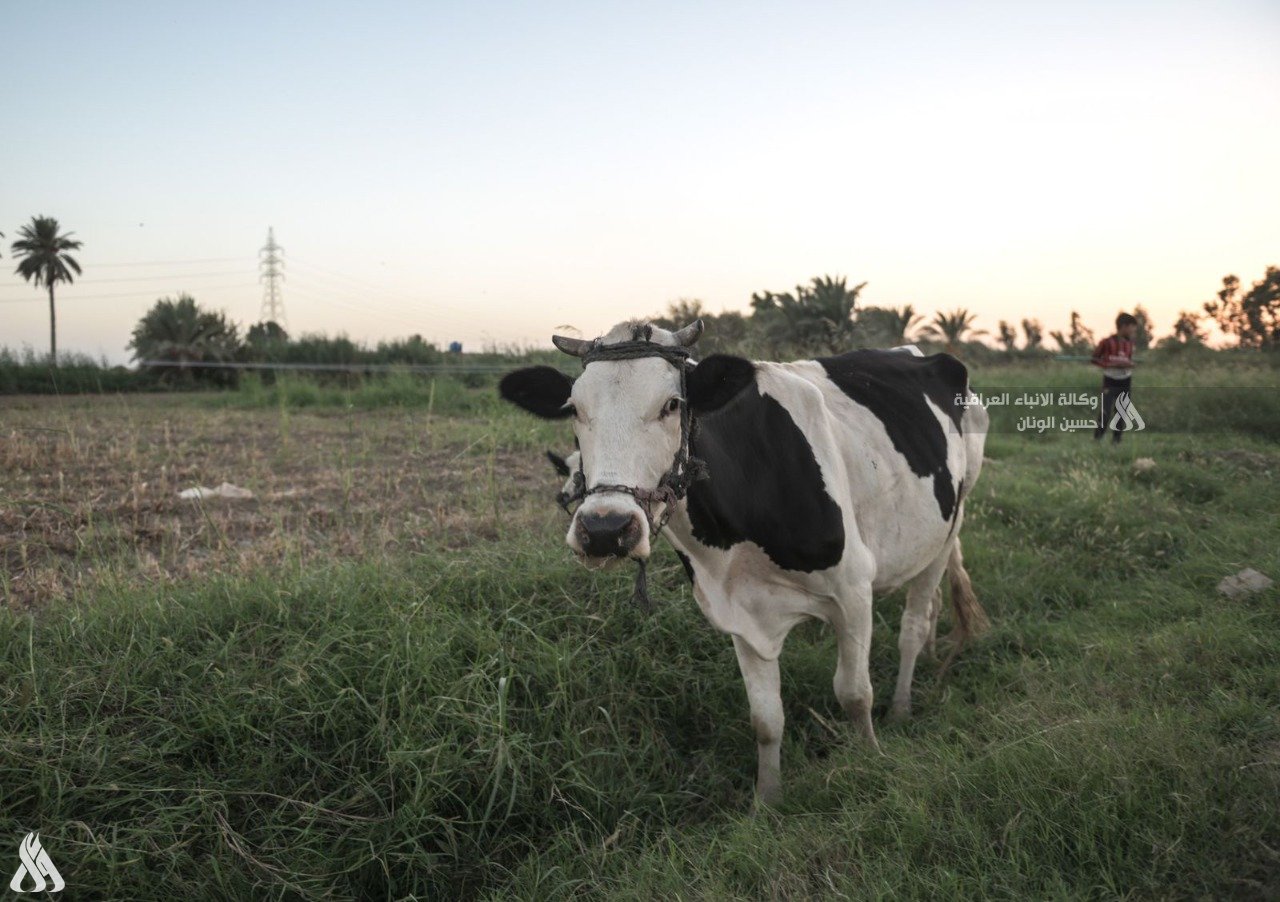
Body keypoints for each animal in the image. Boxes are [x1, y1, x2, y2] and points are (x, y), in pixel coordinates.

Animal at [501, 319, 988, 798]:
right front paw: (767, 800)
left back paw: (902, 707)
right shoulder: (738, 609)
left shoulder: (853, 590)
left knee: (914, 624)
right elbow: (766, 718)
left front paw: (869, 759)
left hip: (947, 528)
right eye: (574, 409)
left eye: (672, 404)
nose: (605, 529)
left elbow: (854, 694)